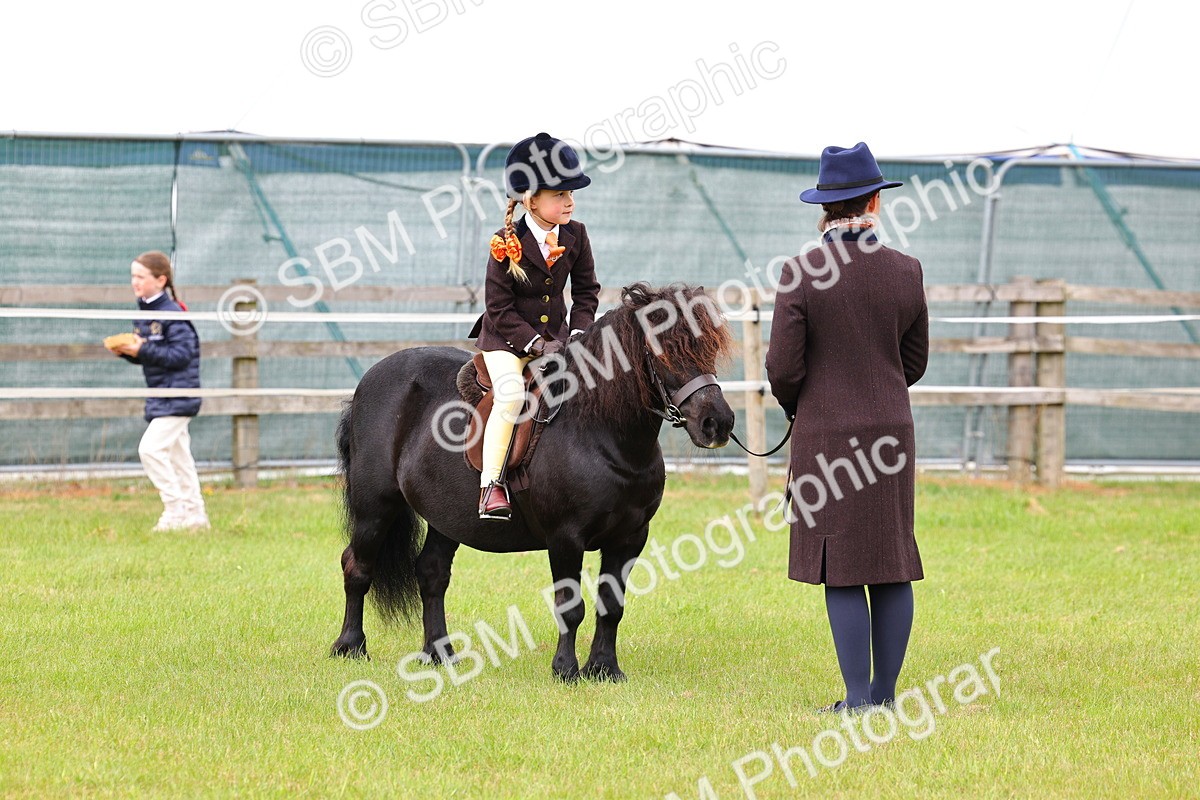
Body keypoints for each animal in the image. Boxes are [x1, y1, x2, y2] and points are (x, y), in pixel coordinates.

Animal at [330, 282, 736, 682]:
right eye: (664, 351)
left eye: (709, 348)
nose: (718, 423)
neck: (601, 434)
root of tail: (369, 381)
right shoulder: (565, 538)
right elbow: (571, 606)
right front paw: (566, 669)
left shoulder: (630, 538)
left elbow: (611, 605)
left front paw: (604, 668)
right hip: (375, 507)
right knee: (356, 566)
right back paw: (350, 646)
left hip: (445, 518)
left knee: (431, 573)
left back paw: (440, 654)